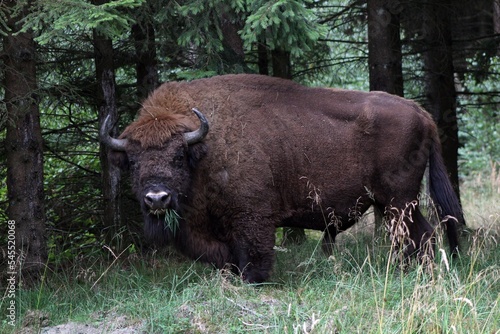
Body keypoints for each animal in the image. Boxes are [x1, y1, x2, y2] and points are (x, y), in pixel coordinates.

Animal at [100, 73, 464, 282]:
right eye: (133, 161)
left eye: (178, 156)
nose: (156, 199)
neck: (204, 147)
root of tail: (421, 113)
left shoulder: (252, 218)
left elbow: (255, 256)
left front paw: (255, 282)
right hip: (397, 204)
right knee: (421, 235)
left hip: (399, 201)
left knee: (421, 235)